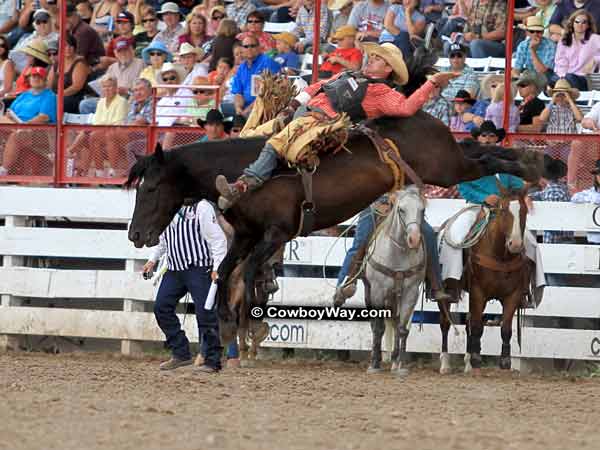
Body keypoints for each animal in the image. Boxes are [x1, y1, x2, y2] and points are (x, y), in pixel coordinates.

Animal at [125, 59, 552, 324]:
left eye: (153, 188)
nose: (135, 234)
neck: (237, 169)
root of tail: (416, 114)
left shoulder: (276, 233)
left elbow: (246, 272)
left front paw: (246, 311)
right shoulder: (245, 235)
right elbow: (227, 269)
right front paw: (225, 315)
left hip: (447, 168)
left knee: (485, 161)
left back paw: (544, 167)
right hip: (449, 160)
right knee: (481, 150)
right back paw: (543, 165)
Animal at [364, 186, 424, 376]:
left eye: (422, 210)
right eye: (401, 210)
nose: (414, 239)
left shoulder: (411, 292)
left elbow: (403, 329)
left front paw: (400, 365)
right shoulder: (377, 291)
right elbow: (378, 328)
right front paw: (374, 364)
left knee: (396, 322)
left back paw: (395, 360)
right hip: (370, 292)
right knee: (375, 324)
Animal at [438, 185, 528, 374]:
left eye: (524, 210)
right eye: (503, 210)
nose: (515, 245)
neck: (501, 256)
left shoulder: (513, 295)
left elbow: (505, 328)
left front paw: (505, 361)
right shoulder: (478, 292)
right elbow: (478, 326)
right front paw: (477, 358)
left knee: (468, 322)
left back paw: (467, 364)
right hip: (445, 291)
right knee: (445, 323)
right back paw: (445, 364)